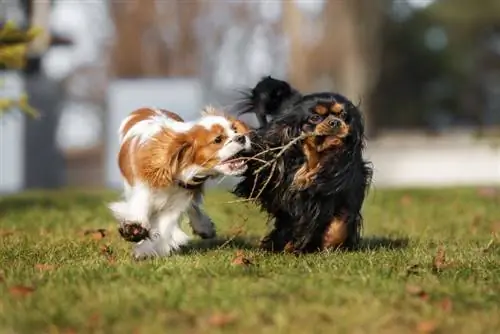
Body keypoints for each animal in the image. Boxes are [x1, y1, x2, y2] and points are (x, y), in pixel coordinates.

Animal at [109, 106, 250, 258]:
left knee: (193, 207)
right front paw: (135, 229)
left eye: (234, 130)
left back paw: (203, 227)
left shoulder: (179, 199)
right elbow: (140, 208)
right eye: (218, 139)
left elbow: (164, 226)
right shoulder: (143, 188)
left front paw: (147, 249)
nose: (241, 137)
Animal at [230, 76, 372, 253]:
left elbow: (340, 224)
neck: (314, 160)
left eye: (343, 115)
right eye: (315, 118)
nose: (335, 122)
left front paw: (329, 243)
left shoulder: (345, 189)